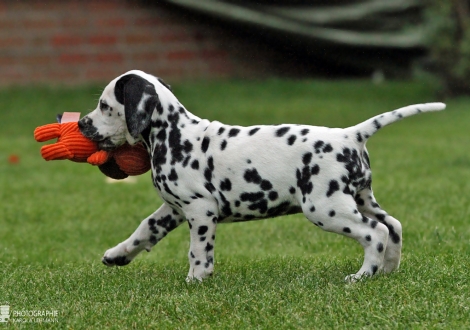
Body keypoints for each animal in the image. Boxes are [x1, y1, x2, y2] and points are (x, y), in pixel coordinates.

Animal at [79, 69, 446, 282]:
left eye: (104, 106)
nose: (82, 124)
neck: (173, 133)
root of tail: (351, 134)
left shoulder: (200, 210)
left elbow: (198, 251)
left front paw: (196, 280)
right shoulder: (173, 209)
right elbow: (144, 230)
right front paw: (118, 255)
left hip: (326, 208)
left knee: (374, 232)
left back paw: (363, 275)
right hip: (361, 199)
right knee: (393, 225)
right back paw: (388, 269)